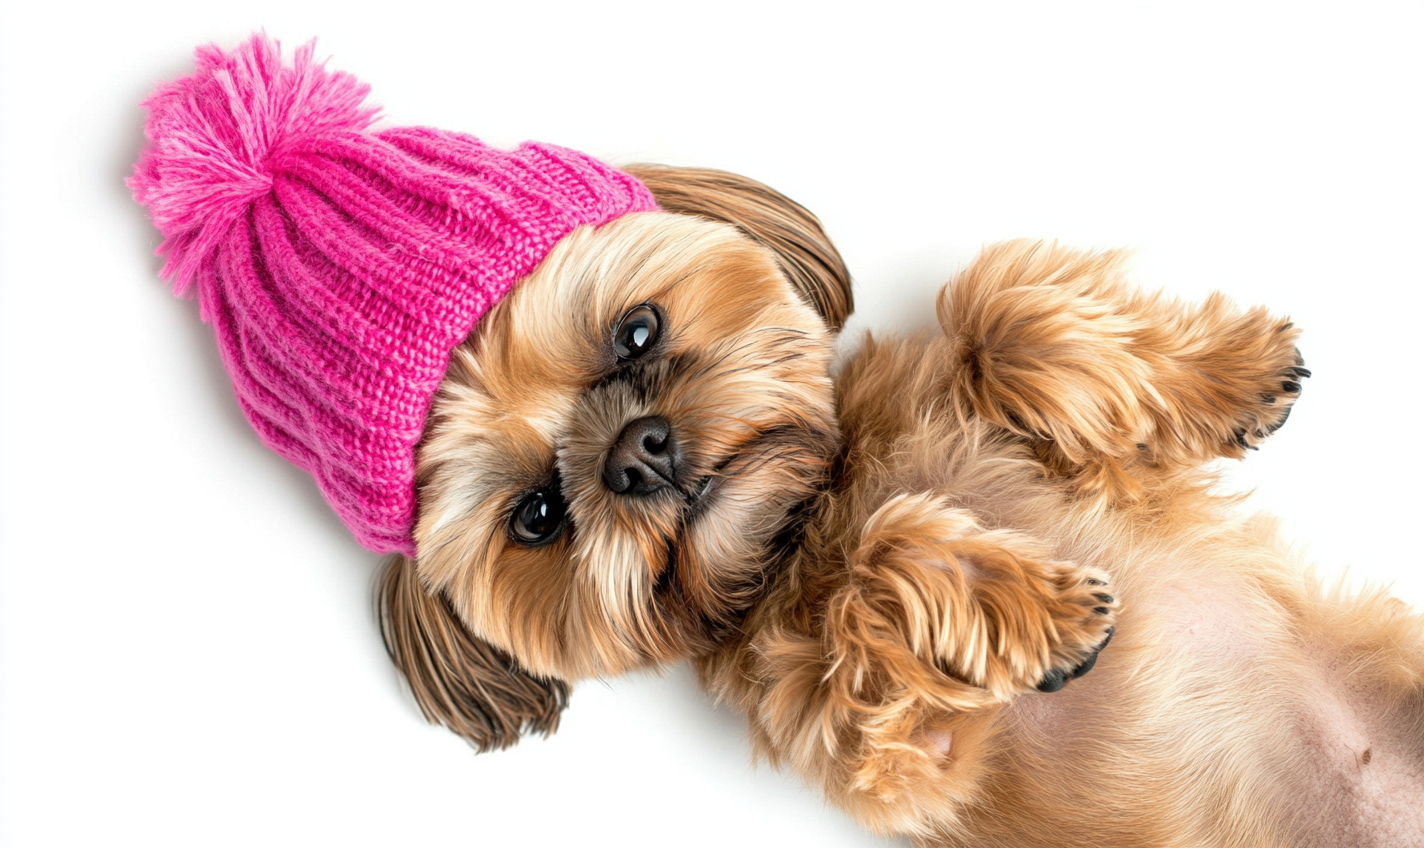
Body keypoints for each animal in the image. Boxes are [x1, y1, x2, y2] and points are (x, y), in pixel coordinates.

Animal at [378, 167, 1424, 848]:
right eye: (537, 517)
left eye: (637, 331)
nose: (633, 454)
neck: (806, 522)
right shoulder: (902, 749)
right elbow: (882, 555)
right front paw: (1042, 613)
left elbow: (1001, 312)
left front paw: (1230, 372)